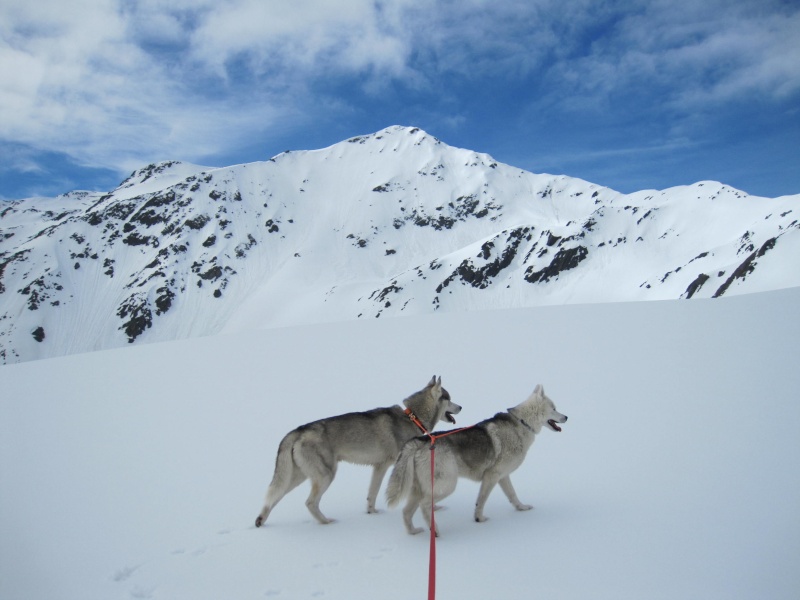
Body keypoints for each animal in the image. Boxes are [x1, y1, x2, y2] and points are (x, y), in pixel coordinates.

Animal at [253, 378, 460, 528]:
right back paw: (326, 523)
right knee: (310, 503)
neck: (413, 417)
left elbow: (372, 494)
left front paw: (372, 513)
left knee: (272, 498)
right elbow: (381, 491)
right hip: (325, 476)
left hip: (296, 478)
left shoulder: (379, 467)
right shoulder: (389, 466)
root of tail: (298, 430)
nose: (461, 407)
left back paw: (261, 520)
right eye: (449, 398)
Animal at [384, 386, 564, 536]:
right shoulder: (491, 476)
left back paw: (413, 531)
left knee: (406, 511)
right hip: (446, 485)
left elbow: (513, 495)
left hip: (419, 489)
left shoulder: (502, 476)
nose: (567, 417)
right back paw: (435, 532)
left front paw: (522, 508)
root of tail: (419, 442)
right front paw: (479, 519)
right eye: (554, 408)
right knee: (425, 505)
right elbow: (481, 500)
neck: (522, 423)